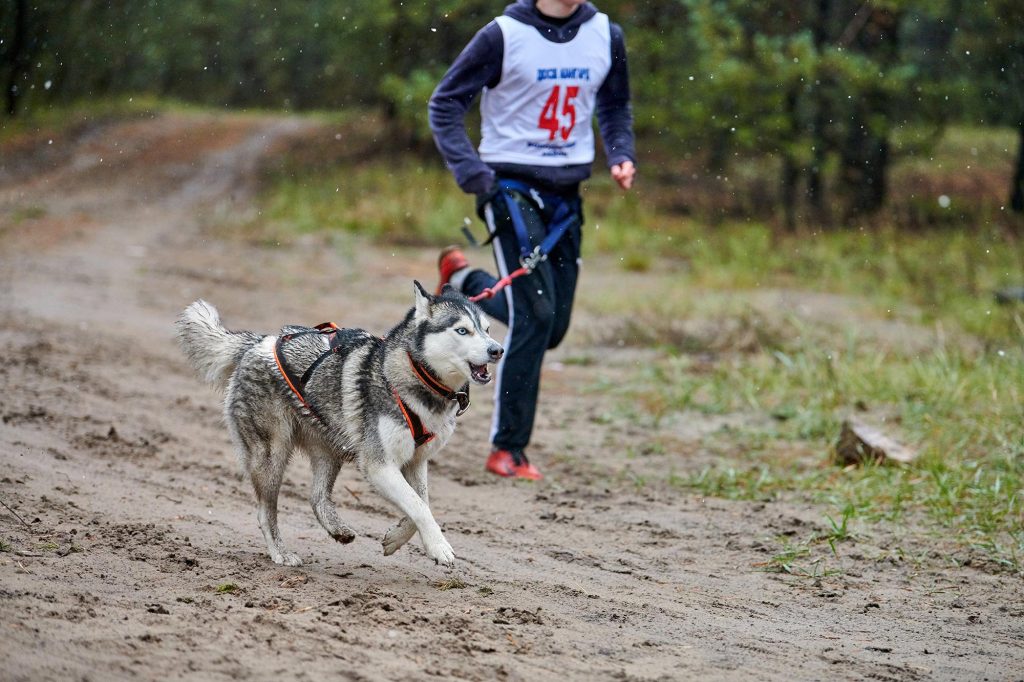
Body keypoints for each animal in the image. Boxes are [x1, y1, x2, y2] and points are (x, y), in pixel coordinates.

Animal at [177, 278, 503, 565]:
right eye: (462, 330)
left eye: (487, 329)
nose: (497, 349)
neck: (416, 376)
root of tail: (258, 342)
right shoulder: (378, 465)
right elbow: (418, 507)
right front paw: (439, 547)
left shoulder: (416, 460)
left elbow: (420, 503)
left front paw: (396, 538)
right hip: (271, 454)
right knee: (265, 512)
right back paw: (280, 553)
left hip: (328, 449)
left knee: (316, 496)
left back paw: (337, 529)